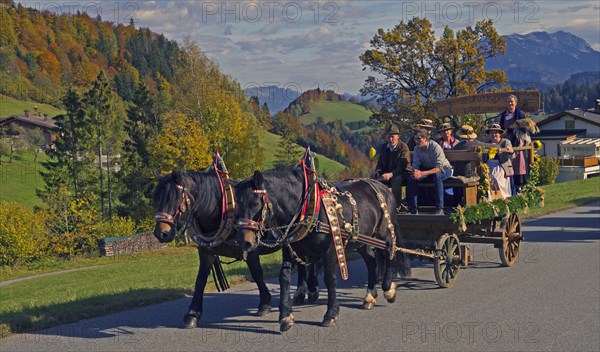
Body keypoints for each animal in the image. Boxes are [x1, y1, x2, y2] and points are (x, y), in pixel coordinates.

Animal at [152, 169, 318, 328]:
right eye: (157, 199)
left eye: (175, 197)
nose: (161, 233)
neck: (220, 211)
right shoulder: (206, 252)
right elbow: (200, 280)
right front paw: (192, 314)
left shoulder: (252, 250)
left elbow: (257, 275)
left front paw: (265, 304)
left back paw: (308, 290)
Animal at [232, 165, 410, 330]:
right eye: (237, 205)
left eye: (256, 202)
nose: (243, 241)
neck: (307, 207)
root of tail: (382, 187)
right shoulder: (289, 248)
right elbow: (284, 277)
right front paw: (286, 316)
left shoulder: (331, 249)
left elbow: (329, 279)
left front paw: (330, 314)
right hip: (361, 240)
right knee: (371, 261)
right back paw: (370, 296)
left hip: (384, 233)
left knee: (391, 251)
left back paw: (388, 287)